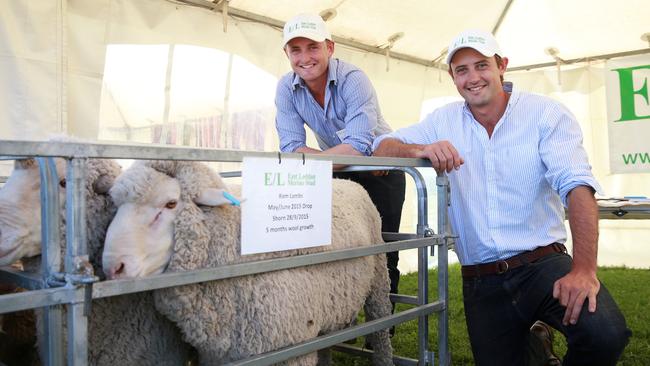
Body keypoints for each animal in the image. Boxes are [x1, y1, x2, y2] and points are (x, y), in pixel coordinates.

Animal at [102, 161, 394, 366]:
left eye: (171, 203)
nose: (113, 267)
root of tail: (348, 182)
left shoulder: (292, 348)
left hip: (379, 283)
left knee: (381, 332)